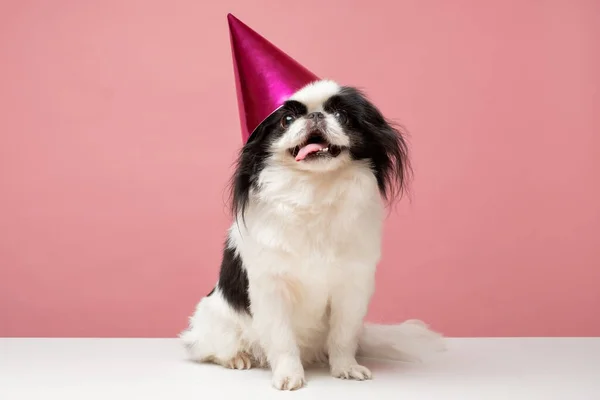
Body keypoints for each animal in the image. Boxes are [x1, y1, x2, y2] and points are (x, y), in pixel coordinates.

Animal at [178, 79, 440, 390]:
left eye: (342, 115)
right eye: (287, 120)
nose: (315, 115)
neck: (315, 188)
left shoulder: (352, 287)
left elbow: (343, 336)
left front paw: (345, 368)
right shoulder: (273, 288)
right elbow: (282, 340)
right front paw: (289, 376)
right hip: (215, 321)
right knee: (210, 348)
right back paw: (237, 358)